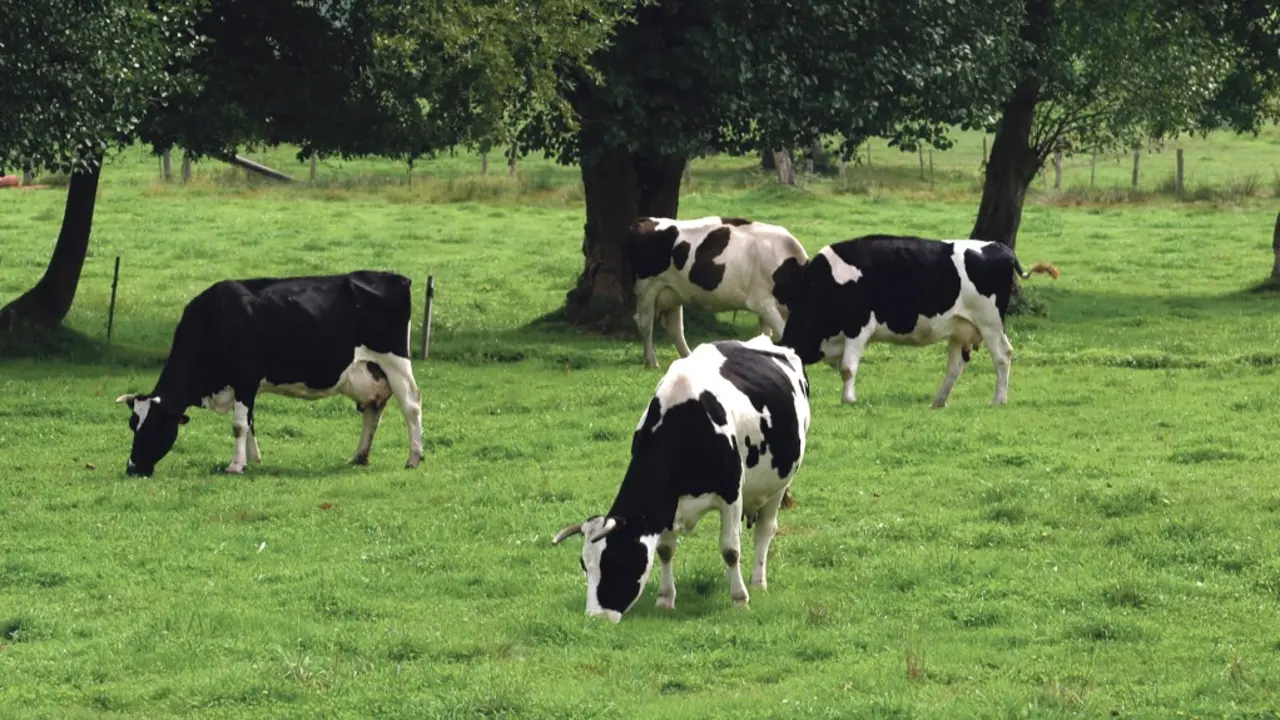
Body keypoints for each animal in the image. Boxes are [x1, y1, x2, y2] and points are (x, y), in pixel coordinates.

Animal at [115, 270, 424, 477]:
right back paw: (359, 457)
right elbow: (250, 422)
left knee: (411, 405)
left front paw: (236, 465)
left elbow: (239, 425)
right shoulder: (244, 386)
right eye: (132, 424)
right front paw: (253, 460)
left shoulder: (245, 378)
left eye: (153, 426)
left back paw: (414, 457)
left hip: (395, 361)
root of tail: (397, 278)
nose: (133, 468)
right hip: (372, 372)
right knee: (373, 410)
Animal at [552, 335, 811, 623]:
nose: (597, 618)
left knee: (765, 531)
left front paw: (740, 600)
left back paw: (757, 582)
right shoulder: (666, 504)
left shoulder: (731, 494)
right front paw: (665, 599)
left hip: (779, 484)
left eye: (618, 561)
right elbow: (665, 549)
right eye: (585, 565)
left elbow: (730, 550)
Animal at [626, 216, 809, 369]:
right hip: (647, 288)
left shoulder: (768, 310)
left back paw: (688, 357)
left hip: (673, 292)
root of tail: (645, 220)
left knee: (675, 328)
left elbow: (766, 336)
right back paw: (651, 362)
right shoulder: (762, 303)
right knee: (645, 323)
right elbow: (782, 333)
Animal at [777, 235, 1059, 408]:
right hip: (961, 328)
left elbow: (848, 368)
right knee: (955, 366)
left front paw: (848, 400)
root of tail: (1000, 247)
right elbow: (842, 368)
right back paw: (938, 402)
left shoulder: (858, 327)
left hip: (990, 323)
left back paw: (998, 399)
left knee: (1002, 356)